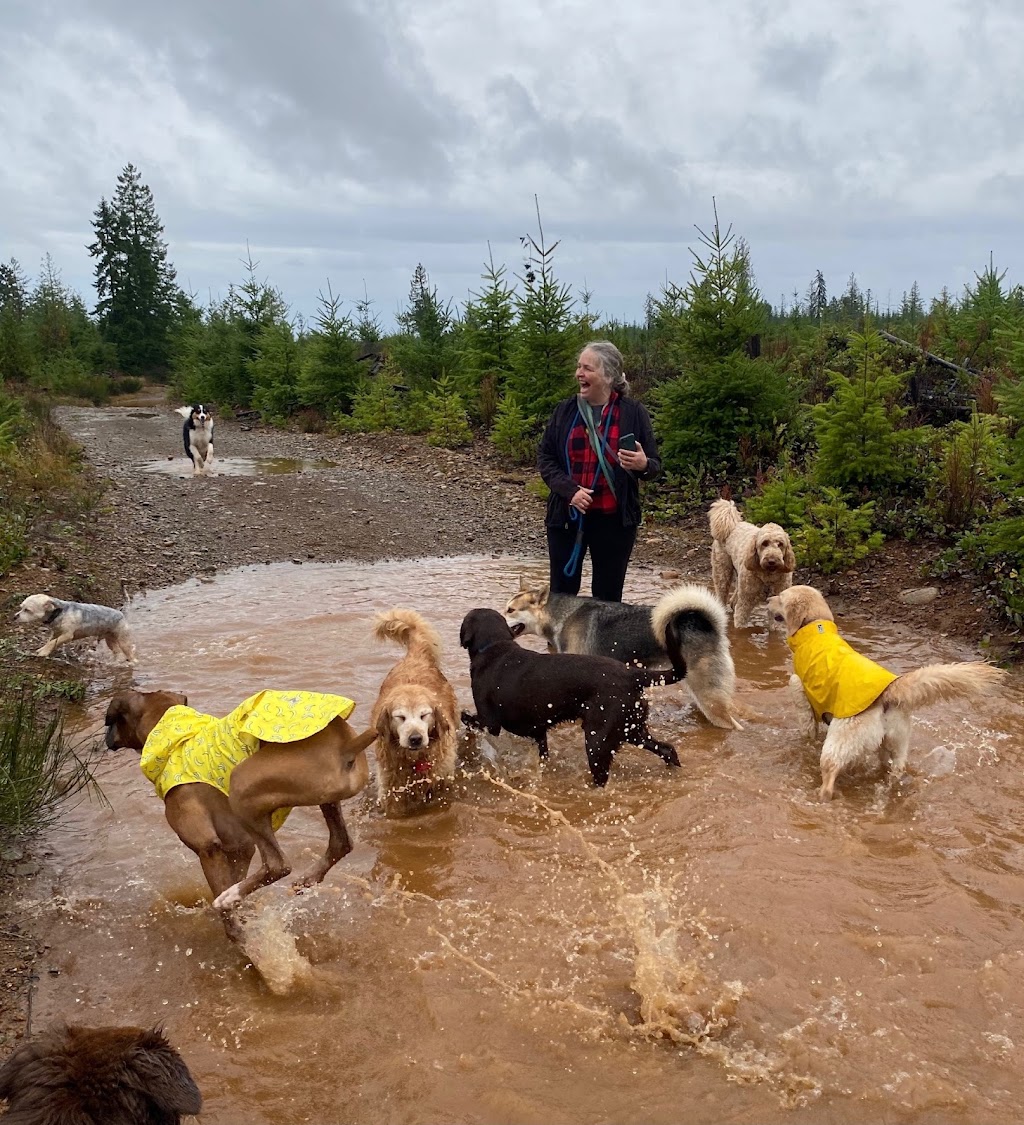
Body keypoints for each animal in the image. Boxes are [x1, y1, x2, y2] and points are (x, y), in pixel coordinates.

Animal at [711, 499, 796, 630]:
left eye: (780, 544)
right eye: (764, 543)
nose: (772, 560)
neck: (768, 576)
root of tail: (733, 524)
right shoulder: (745, 604)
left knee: (733, 600)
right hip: (722, 573)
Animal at [774, 589, 1008, 801]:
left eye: (780, 598)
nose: (768, 599)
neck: (815, 627)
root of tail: (888, 692)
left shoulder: (799, 689)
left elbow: (806, 723)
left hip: (840, 741)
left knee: (830, 775)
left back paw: (822, 796)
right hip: (896, 741)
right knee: (895, 767)